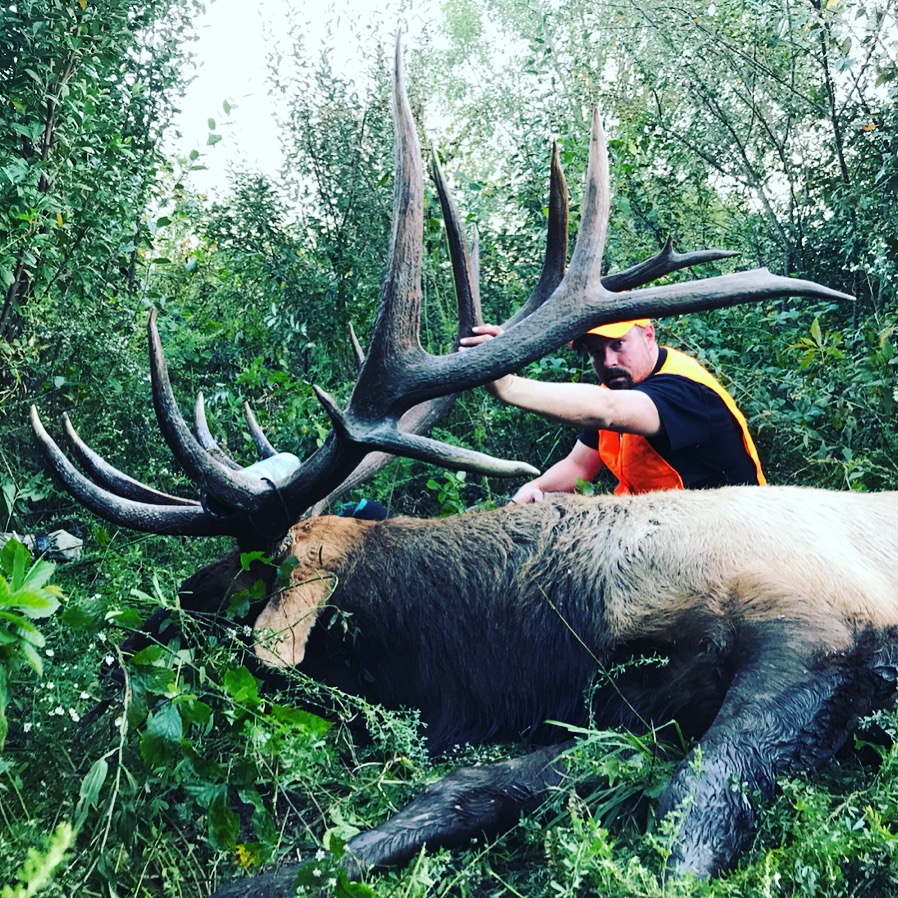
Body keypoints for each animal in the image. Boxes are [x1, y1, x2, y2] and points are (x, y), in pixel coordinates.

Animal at [29, 35, 886, 898]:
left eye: (240, 578)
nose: (122, 643)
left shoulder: (814, 629)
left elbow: (690, 818)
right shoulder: (630, 702)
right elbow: (463, 789)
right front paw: (268, 878)